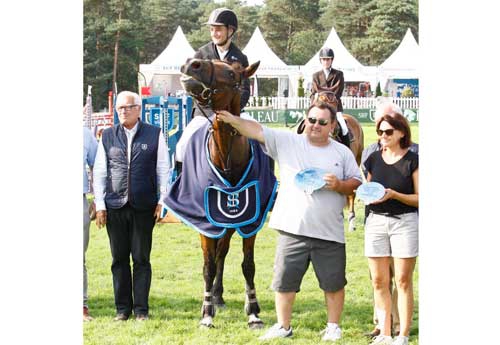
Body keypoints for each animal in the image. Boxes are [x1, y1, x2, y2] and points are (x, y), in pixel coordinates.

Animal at [172, 59, 274, 328]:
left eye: (231, 73)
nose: (192, 64)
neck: (227, 159)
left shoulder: (250, 222)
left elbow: (248, 265)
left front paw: (253, 311)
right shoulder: (205, 223)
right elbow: (208, 265)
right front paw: (207, 313)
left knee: (223, 253)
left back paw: (219, 295)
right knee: (217, 256)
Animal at [296, 90, 364, 231]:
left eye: (336, 104)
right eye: (320, 101)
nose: (333, 131)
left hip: (357, 160)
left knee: (351, 194)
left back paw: (351, 221)